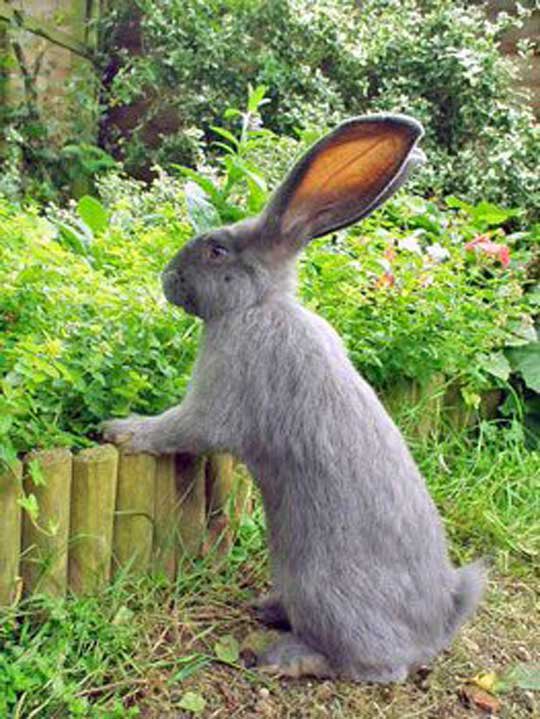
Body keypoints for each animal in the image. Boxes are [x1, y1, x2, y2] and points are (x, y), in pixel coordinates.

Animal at [103, 114, 485, 682]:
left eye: (216, 249)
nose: (167, 278)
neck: (259, 305)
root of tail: (439, 627)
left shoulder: (216, 399)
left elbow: (176, 428)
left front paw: (120, 430)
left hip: (323, 591)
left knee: (372, 667)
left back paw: (281, 655)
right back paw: (268, 609)